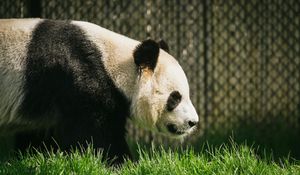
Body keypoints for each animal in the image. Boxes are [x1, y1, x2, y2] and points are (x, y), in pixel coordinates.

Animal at [1, 19, 200, 164]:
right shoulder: (79, 77)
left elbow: (38, 134)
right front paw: (123, 163)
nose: (193, 122)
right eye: (175, 98)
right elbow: (94, 132)